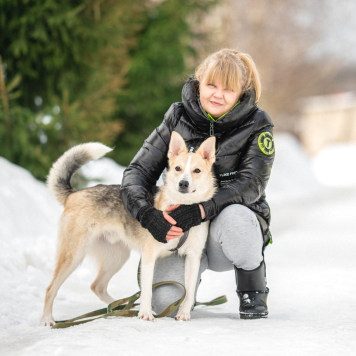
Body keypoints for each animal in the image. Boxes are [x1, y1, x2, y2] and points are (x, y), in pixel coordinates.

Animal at [40, 131, 216, 326]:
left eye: (197, 171)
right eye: (178, 168)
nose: (183, 184)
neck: (181, 209)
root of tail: (74, 194)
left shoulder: (193, 257)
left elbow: (190, 291)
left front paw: (184, 313)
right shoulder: (149, 255)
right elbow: (147, 290)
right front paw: (145, 313)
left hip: (117, 256)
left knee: (97, 286)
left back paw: (117, 308)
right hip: (74, 255)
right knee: (50, 288)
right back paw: (48, 319)